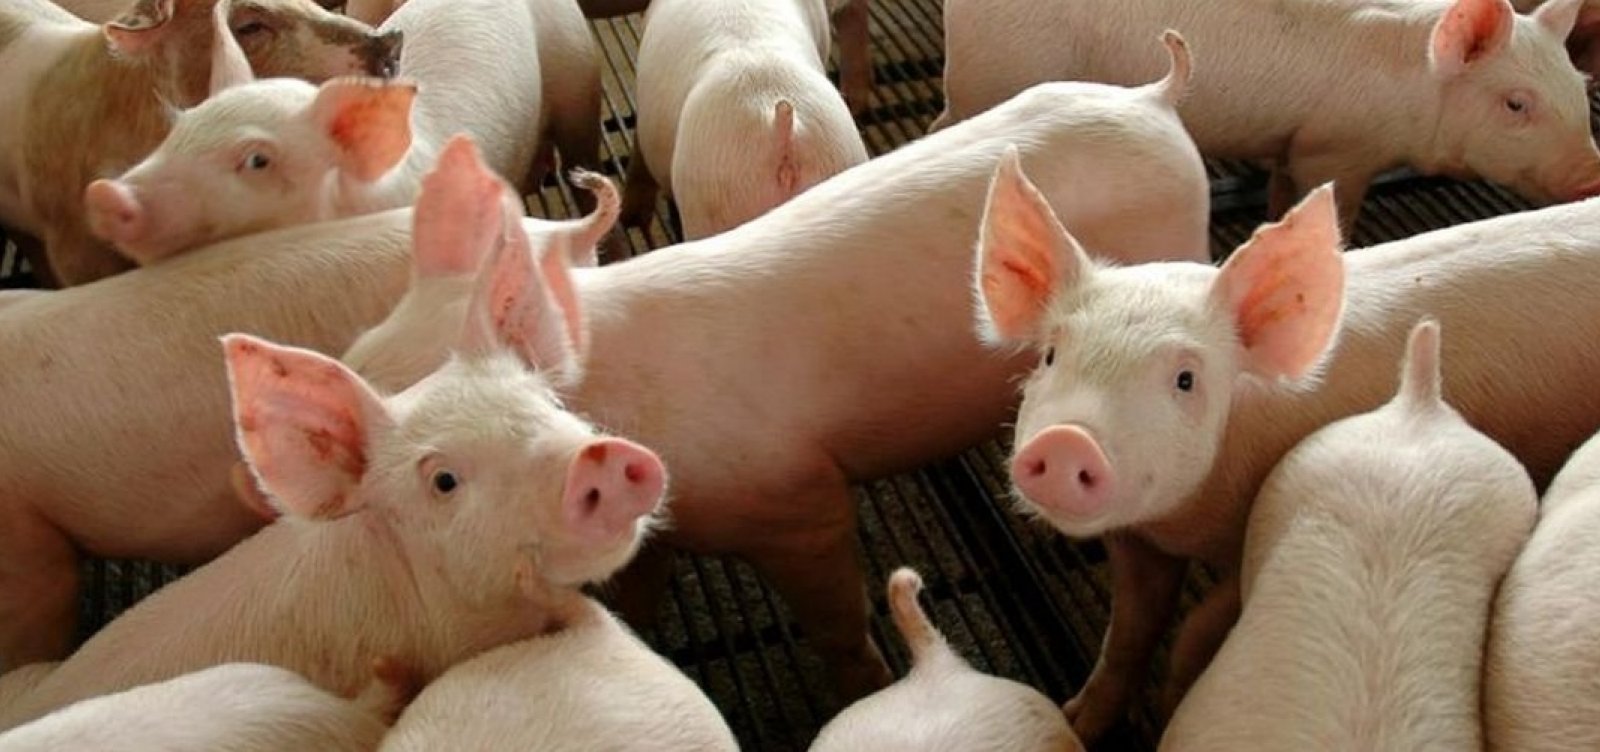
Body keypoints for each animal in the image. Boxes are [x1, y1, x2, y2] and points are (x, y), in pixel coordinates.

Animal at [331, 33, 1210, 701]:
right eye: (365, 350)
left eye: (419, 388)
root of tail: (1156, 100)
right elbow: (640, 586)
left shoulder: (793, 498)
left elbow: (835, 614)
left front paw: (863, 689)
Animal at [936, 0, 1600, 227]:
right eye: (1516, 103)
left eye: (1578, 83)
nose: (1592, 177)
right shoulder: (1336, 148)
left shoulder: (1292, 143)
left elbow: (1282, 197)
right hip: (993, 71)